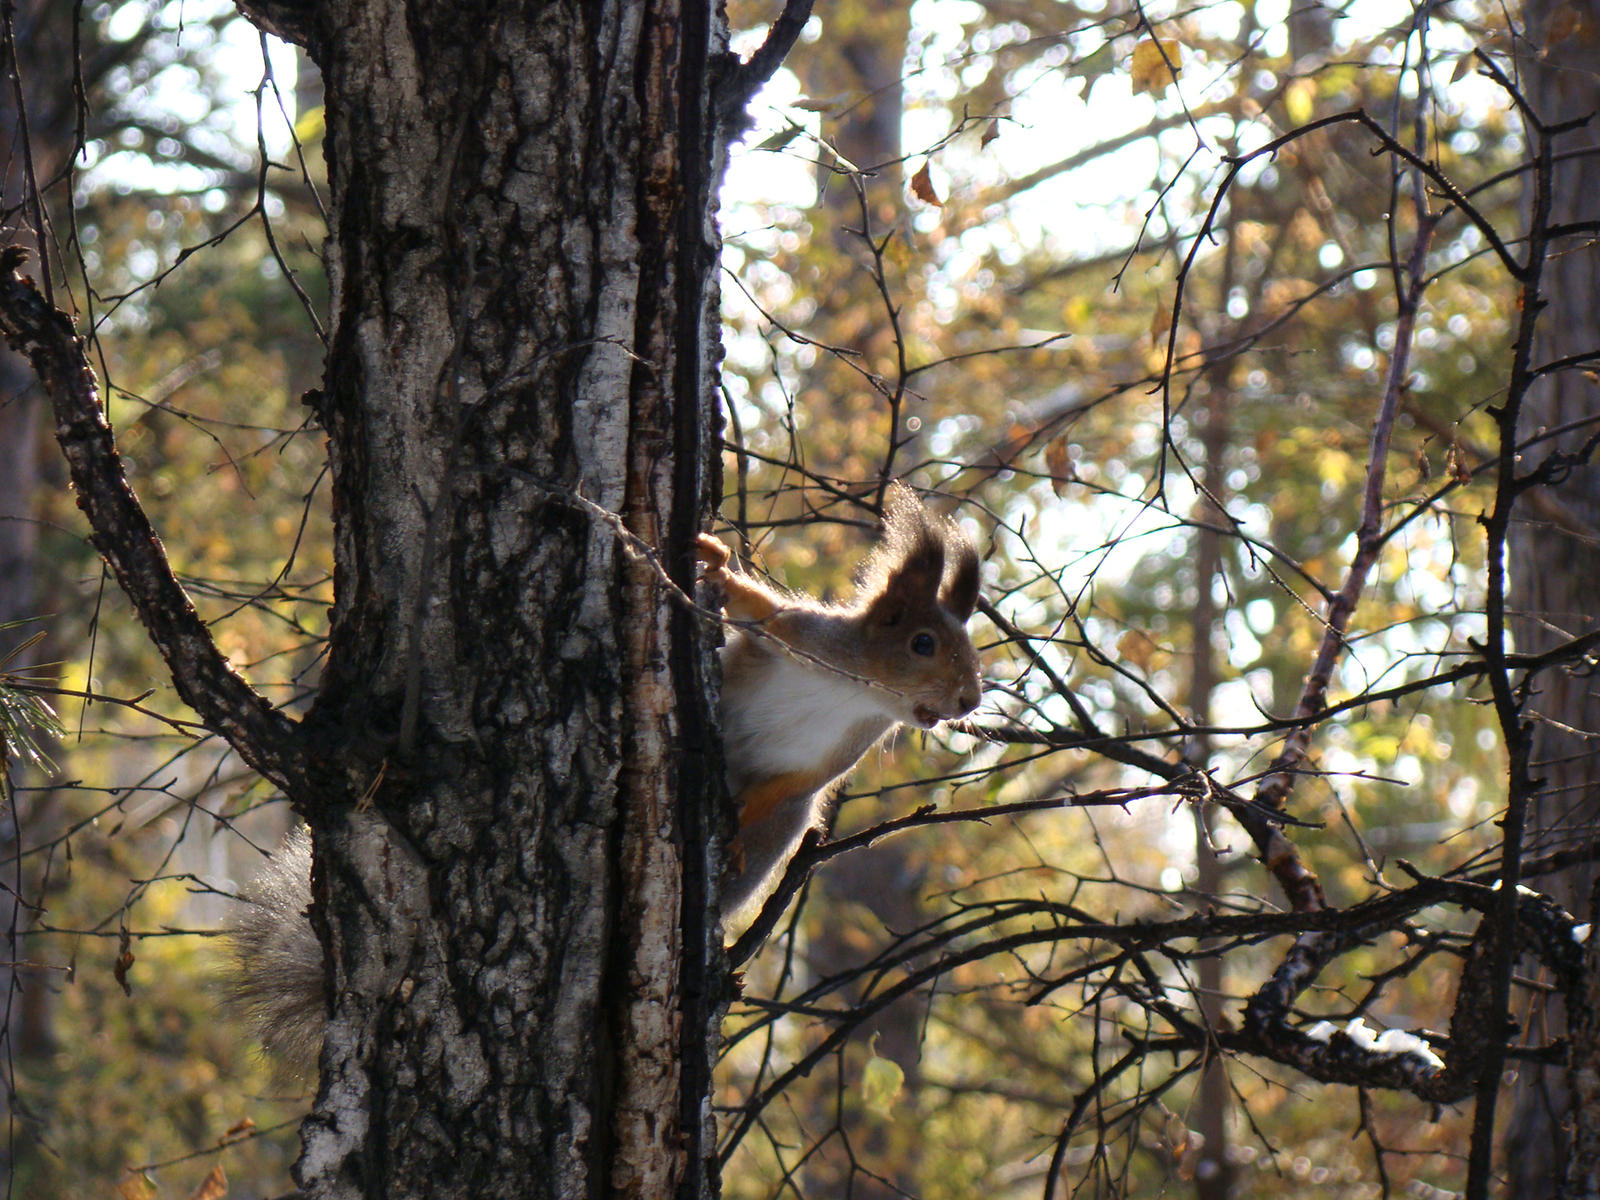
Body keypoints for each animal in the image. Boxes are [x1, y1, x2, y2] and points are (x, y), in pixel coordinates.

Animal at [224, 486, 972, 1068]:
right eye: (923, 643)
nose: (969, 701)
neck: (855, 690)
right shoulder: (798, 638)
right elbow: (753, 611)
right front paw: (713, 561)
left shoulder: (831, 759)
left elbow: (784, 789)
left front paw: (737, 825)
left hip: (784, 833)